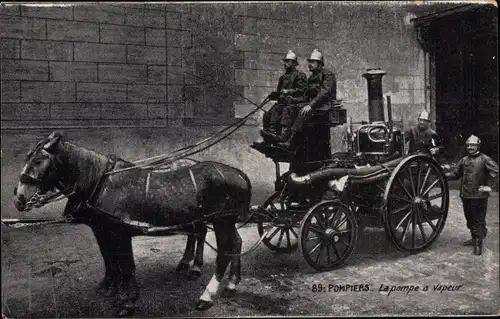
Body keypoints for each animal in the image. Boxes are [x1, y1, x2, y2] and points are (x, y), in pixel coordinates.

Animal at [13, 132, 252, 318]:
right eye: (27, 157)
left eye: (38, 161)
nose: (19, 198)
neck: (99, 182)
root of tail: (239, 174)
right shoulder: (103, 230)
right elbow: (111, 260)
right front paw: (112, 288)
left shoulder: (119, 232)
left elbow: (126, 265)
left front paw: (127, 301)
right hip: (223, 220)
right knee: (234, 243)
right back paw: (230, 283)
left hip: (221, 219)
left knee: (223, 252)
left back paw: (206, 295)